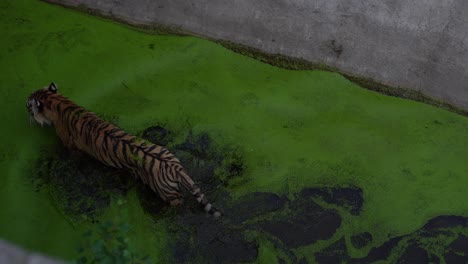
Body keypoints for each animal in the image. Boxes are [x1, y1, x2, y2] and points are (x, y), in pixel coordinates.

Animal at [27, 82, 221, 217]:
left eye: (29, 103)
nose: (25, 106)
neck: (59, 102)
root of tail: (176, 168)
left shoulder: (69, 145)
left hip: (168, 194)